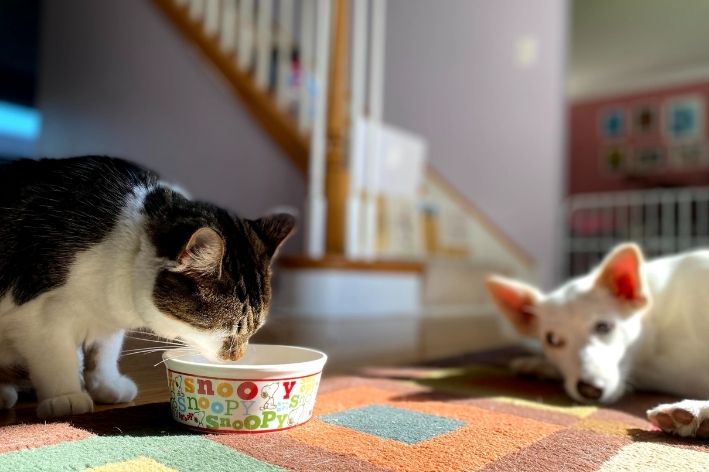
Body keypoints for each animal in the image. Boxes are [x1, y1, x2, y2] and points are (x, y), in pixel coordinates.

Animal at [0, 157, 294, 418]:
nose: (237, 358)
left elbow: (104, 350)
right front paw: (66, 396)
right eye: (227, 327)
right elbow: (56, 356)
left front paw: (106, 385)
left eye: (254, 330)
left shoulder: (106, 317)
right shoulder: (39, 316)